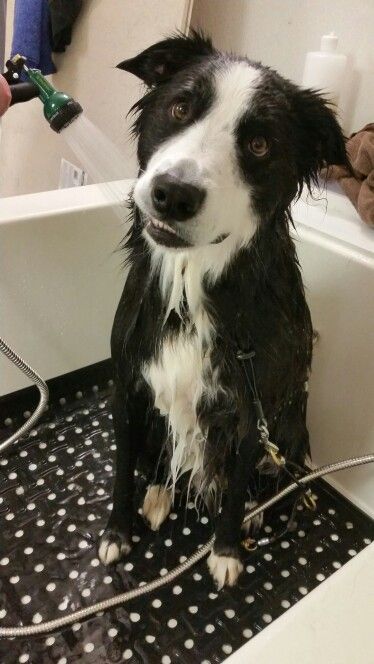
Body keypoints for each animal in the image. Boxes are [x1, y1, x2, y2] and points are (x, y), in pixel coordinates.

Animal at [98, 33, 350, 588]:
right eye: (179, 107)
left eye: (259, 145)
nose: (173, 194)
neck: (192, 290)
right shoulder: (126, 385)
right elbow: (123, 467)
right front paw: (117, 532)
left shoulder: (251, 409)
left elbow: (234, 488)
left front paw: (228, 548)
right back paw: (157, 495)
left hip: (292, 431)